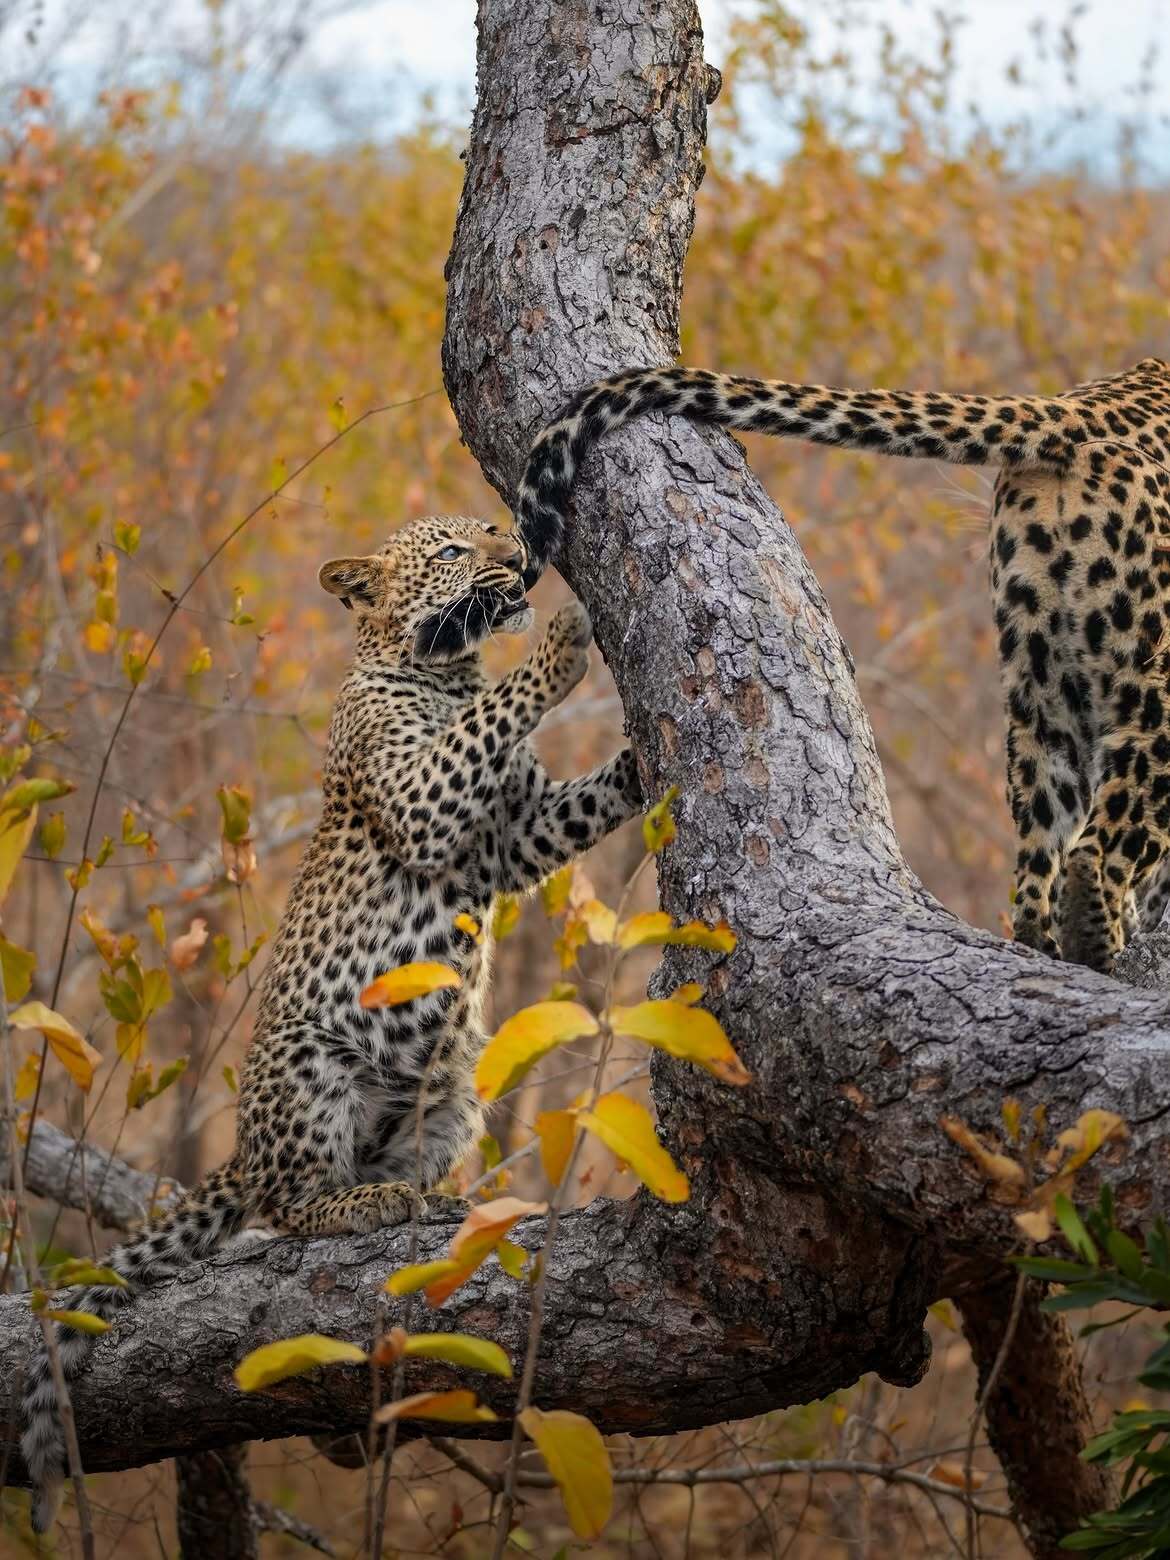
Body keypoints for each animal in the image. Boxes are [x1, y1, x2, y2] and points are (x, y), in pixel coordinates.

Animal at [22, 516, 641, 1534]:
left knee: (379, 1173)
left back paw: (428, 1200)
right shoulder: (428, 798)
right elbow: (495, 713)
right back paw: (361, 1205)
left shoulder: (516, 837)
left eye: (487, 527)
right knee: (290, 1209)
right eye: (455, 549)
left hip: (450, 1101)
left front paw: (640, 759)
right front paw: (562, 638)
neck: (441, 670)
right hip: (311, 1071)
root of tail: (243, 1151)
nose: (514, 549)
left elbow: (572, 797)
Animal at [512, 355, 1170, 975]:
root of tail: (1090, 406)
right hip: (1148, 679)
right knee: (1099, 842)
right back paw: (1098, 940)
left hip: (1042, 688)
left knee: (1041, 861)